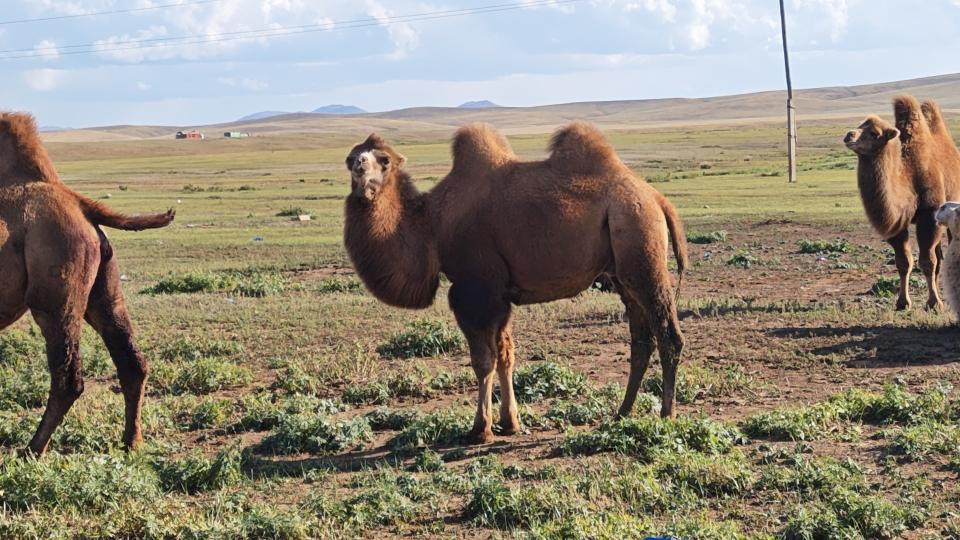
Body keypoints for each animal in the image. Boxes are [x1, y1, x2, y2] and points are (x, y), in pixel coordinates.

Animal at [0, 112, 174, 455]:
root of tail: (78, 203)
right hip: (104, 288)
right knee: (132, 361)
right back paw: (132, 441)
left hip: (55, 291)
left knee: (67, 378)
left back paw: (32, 450)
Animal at [343, 122, 687, 444]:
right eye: (350, 156)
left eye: (384, 159)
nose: (358, 164)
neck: (434, 225)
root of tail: (658, 199)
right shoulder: (501, 295)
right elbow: (506, 354)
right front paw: (510, 423)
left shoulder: (476, 292)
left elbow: (484, 361)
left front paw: (480, 429)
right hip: (623, 270)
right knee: (641, 340)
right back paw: (621, 413)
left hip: (639, 243)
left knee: (668, 335)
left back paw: (666, 415)